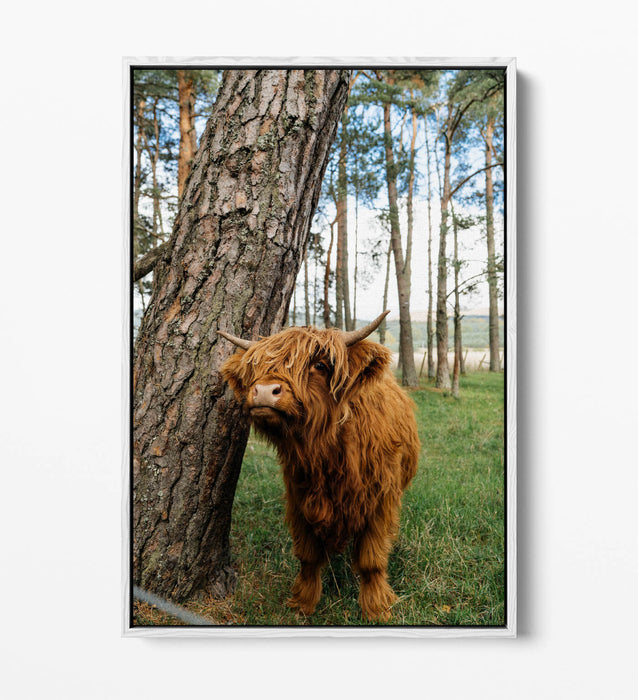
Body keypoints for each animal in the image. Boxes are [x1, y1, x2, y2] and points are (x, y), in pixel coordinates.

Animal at [219, 310, 420, 621]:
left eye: (320, 365)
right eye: (256, 367)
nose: (264, 391)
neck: (326, 453)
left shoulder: (380, 501)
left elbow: (371, 558)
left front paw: (376, 608)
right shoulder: (300, 498)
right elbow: (308, 555)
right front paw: (303, 602)